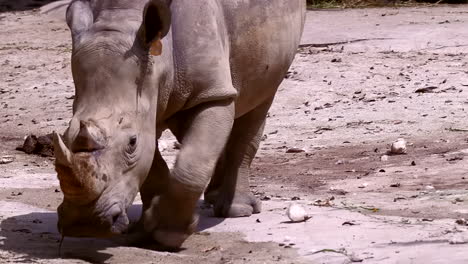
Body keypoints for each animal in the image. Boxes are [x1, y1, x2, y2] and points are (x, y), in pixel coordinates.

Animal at [53, 0, 306, 249]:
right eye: (64, 136)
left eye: (132, 143)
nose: (85, 224)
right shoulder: (149, 101)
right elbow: (154, 163)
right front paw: (145, 229)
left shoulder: (212, 93)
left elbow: (191, 163)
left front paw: (168, 233)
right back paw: (212, 197)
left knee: (258, 104)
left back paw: (237, 210)